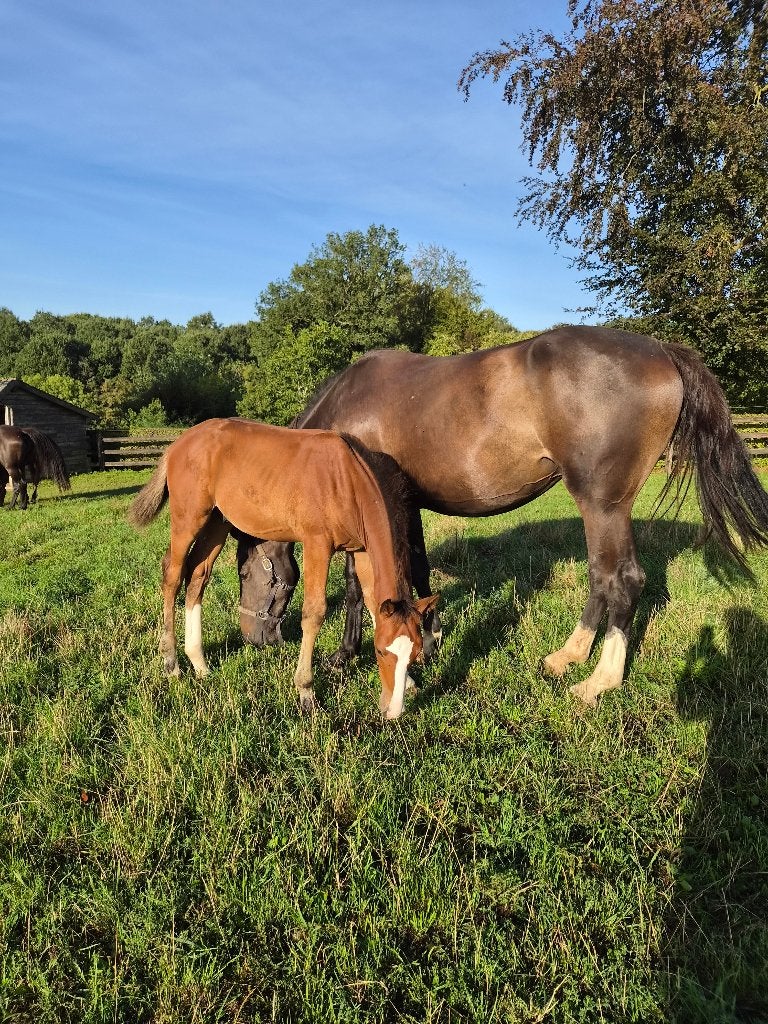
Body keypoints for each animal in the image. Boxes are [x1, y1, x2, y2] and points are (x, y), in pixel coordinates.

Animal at [128, 418, 438, 719]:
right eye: (381, 652)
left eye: (414, 655)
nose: (393, 713)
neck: (347, 481)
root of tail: (177, 445)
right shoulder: (317, 544)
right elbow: (314, 614)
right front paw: (306, 693)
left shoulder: (360, 550)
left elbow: (374, 604)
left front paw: (410, 684)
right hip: (188, 518)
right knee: (172, 574)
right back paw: (172, 663)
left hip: (218, 522)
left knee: (197, 575)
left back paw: (199, 663)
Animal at [235, 325, 768, 707]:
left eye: (244, 572)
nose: (255, 640)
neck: (349, 408)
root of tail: (662, 350)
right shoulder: (408, 503)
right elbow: (418, 571)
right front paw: (429, 639)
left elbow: (355, 585)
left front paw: (346, 656)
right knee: (601, 577)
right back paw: (568, 656)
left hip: (603, 504)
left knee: (623, 579)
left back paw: (599, 680)